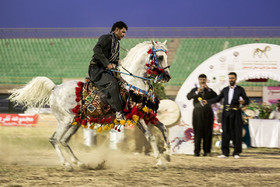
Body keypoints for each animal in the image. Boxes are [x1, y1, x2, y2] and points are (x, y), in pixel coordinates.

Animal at [9, 39, 171, 171]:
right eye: (160, 57)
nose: (167, 77)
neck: (132, 82)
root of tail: (55, 88)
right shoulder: (136, 115)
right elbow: (151, 136)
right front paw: (160, 163)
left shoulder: (145, 113)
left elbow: (163, 128)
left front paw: (168, 154)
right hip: (65, 121)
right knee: (54, 140)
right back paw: (67, 165)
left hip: (75, 122)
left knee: (63, 140)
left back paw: (80, 163)